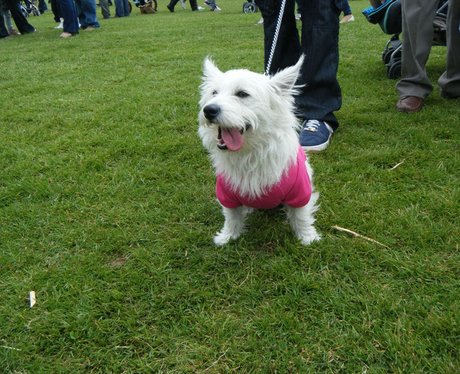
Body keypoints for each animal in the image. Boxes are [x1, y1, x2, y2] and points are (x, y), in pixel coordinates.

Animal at [198, 57, 320, 247]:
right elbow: (231, 217)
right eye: (214, 93)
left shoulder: (300, 191)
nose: (209, 110)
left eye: (242, 94)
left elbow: (301, 216)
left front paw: (307, 237)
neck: (250, 154)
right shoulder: (227, 194)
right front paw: (227, 236)